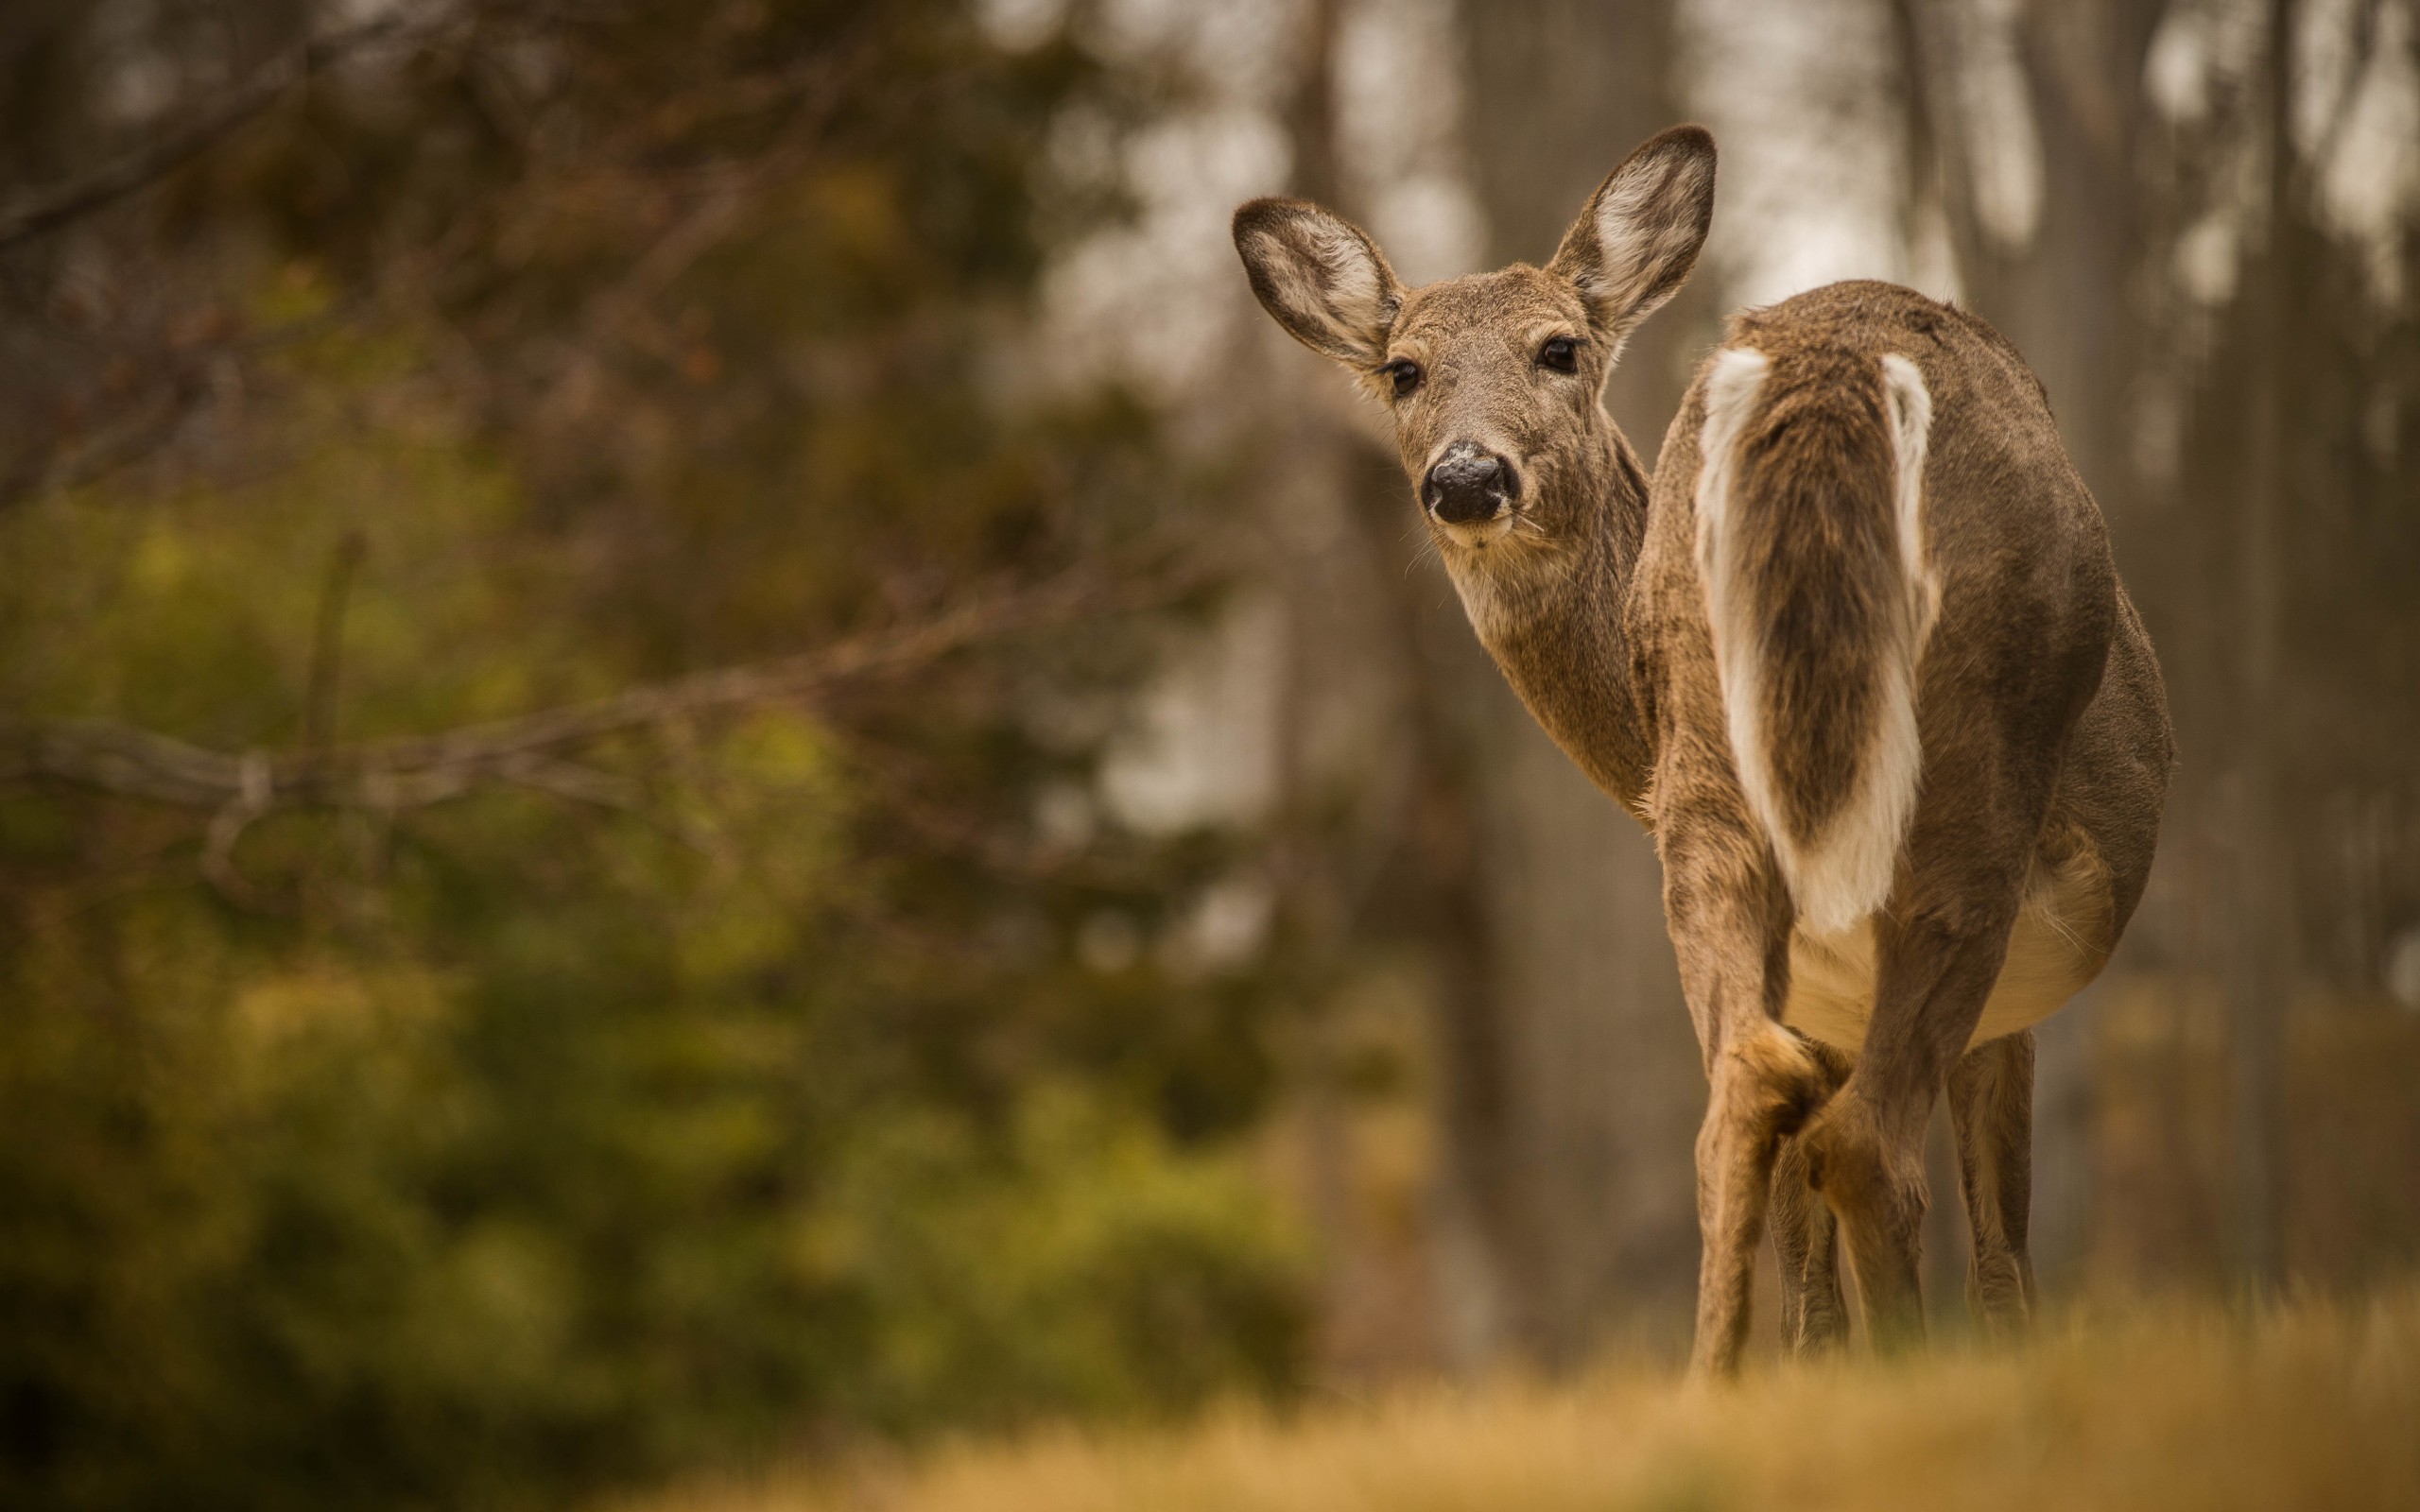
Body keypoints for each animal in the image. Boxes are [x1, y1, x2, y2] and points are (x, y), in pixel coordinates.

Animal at [1229, 127, 2178, 1383]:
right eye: (1402, 369)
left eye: (1559, 349)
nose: (1468, 477)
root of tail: (1823, 376)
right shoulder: (2003, 984)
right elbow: (1998, 1246)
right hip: (1975, 762)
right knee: (1868, 1142)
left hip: (1712, 770)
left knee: (1749, 1091)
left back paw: (1712, 1389)